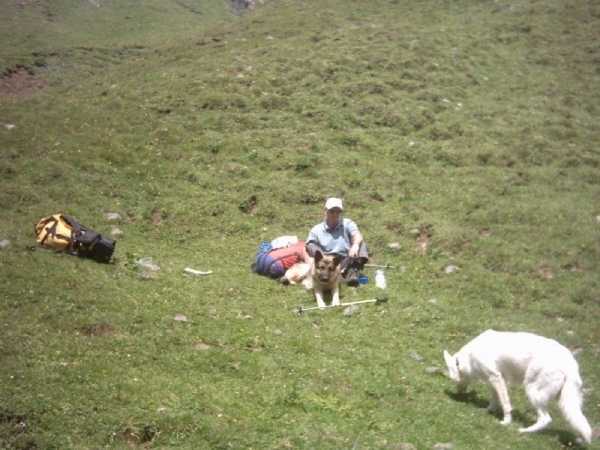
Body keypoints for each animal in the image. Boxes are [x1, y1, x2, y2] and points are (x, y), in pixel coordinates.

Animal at [442, 328, 592, 442]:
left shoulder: (495, 377)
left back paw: (525, 431)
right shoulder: (498, 380)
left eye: (453, 380)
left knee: (546, 419)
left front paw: (506, 422)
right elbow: (495, 400)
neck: (467, 358)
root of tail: (570, 364)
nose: (459, 395)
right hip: (565, 400)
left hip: (532, 391)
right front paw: (488, 411)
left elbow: (506, 405)